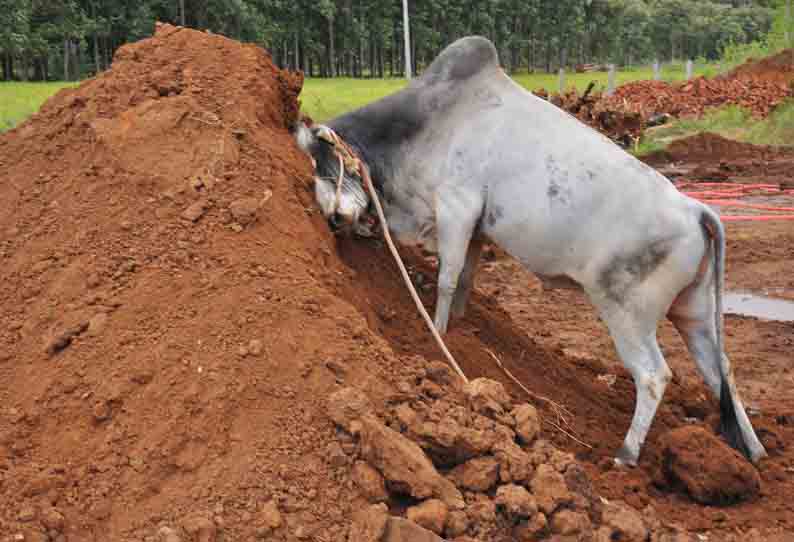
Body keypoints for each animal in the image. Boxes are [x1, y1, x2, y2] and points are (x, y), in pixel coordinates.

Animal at [294, 35, 764, 468]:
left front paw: (439, 335)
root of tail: (695, 209)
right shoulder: (477, 230)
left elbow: (446, 278)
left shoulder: (456, 207)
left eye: (321, 159)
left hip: (627, 312)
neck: (425, 122)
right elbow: (465, 279)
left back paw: (625, 455)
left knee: (653, 376)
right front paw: (459, 329)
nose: (333, 218)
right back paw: (754, 450)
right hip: (693, 311)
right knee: (722, 372)